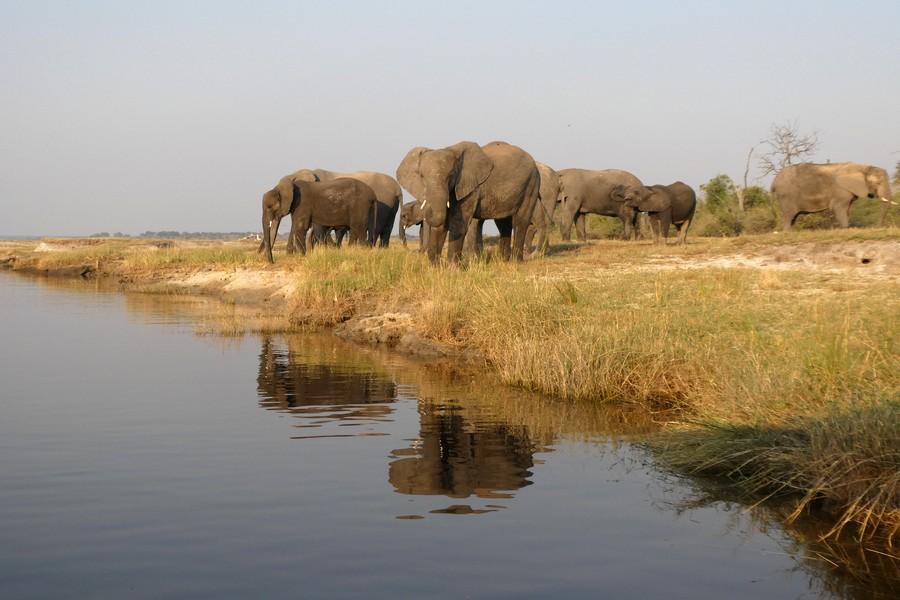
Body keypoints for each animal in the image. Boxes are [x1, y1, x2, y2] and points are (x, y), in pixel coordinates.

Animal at [398, 142, 536, 264]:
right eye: (421, 176)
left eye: (451, 175)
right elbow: (441, 224)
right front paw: (436, 267)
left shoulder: (469, 186)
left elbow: (458, 223)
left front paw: (453, 268)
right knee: (504, 224)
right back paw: (504, 261)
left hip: (531, 185)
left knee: (520, 222)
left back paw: (516, 262)